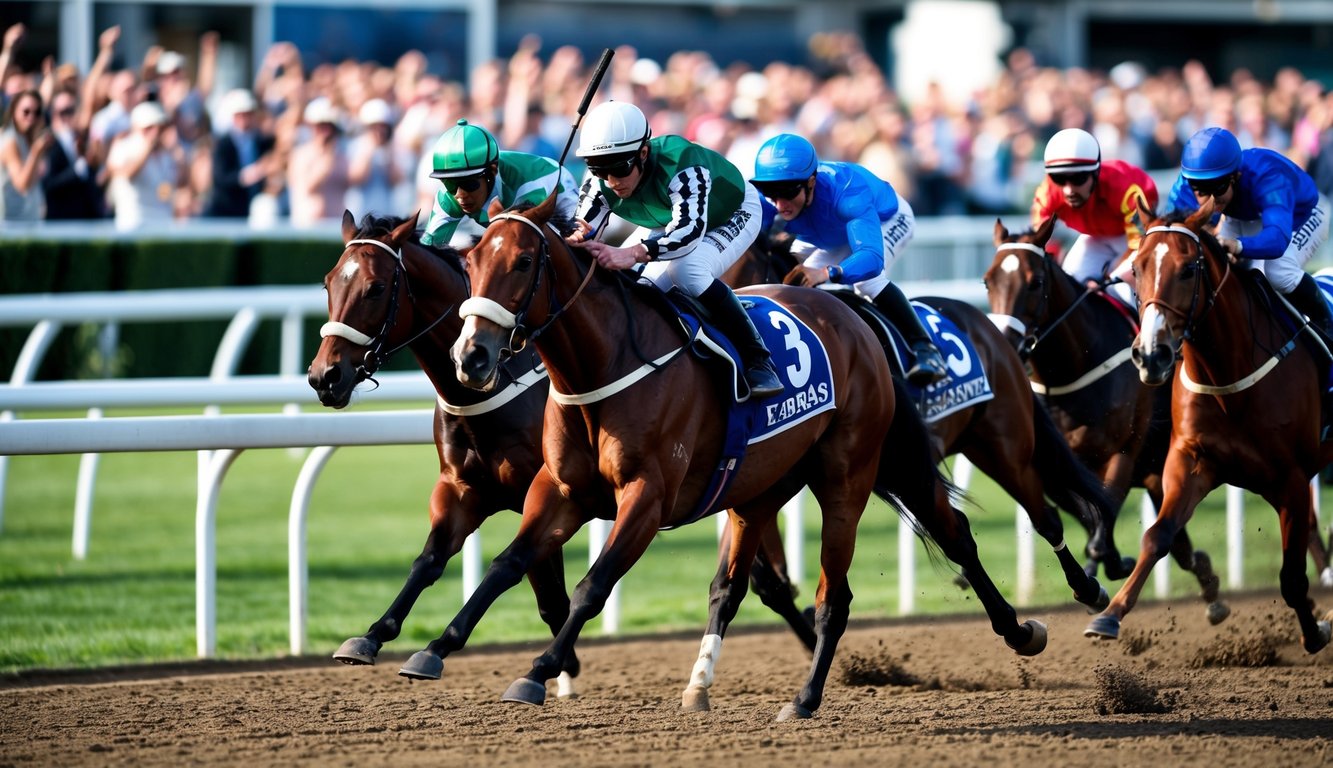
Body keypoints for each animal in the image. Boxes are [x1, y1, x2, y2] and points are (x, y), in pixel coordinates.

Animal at [431, 196, 1045, 720]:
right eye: (471, 260)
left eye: (523, 261)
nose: (471, 356)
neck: (606, 365)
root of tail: (851, 316)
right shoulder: (560, 490)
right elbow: (507, 564)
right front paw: (437, 645)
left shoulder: (647, 497)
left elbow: (591, 587)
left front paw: (538, 669)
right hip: (759, 488)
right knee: (733, 588)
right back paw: (699, 685)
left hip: (852, 472)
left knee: (857, 583)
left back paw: (809, 697)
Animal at [981, 217, 1226, 624]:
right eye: (988, 280)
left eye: (1035, 282)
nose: (1003, 344)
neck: (1074, 367)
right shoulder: (1059, 468)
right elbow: (1089, 515)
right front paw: (1110, 565)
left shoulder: (1123, 452)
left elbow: (1104, 515)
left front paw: (1110, 566)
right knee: (1177, 538)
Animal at [1082, 201, 1333, 650]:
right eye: (1137, 269)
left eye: (1187, 270)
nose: (1152, 355)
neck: (1228, 379)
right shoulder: (1190, 461)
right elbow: (1157, 536)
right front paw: (1109, 615)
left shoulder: (1291, 479)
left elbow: (1291, 577)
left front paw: (1316, 631)